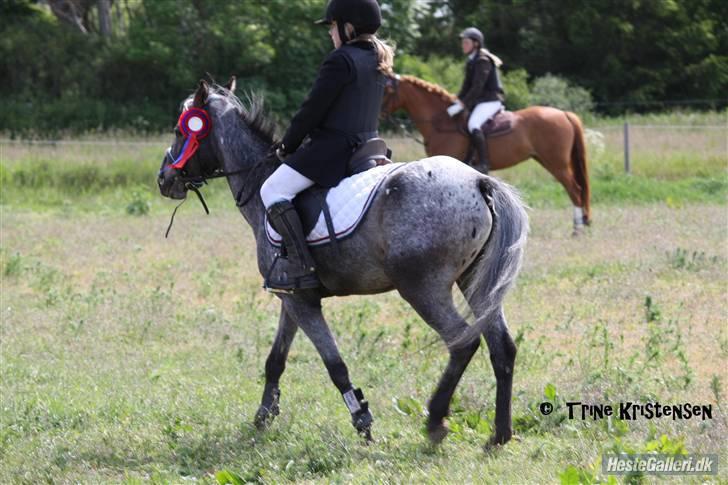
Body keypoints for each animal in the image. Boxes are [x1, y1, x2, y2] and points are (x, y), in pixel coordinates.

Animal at [157, 78, 529, 447]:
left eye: (179, 130)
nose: (164, 179)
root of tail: (478, 180)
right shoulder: (292, 296)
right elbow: (276, 360)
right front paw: (263, 417)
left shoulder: (302, 303)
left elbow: (334, 365)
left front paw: (362, 419)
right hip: (474, 281)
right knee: (502, 347)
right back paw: (500, 434)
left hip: (423, 288)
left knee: (463, 342)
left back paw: (436, 420)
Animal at [382, 74, 591, 233]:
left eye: (388, 90)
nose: (380, 115)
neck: (442, 122)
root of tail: (563, 113)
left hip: (557, 163)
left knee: (575, 190)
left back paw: (577, 229)